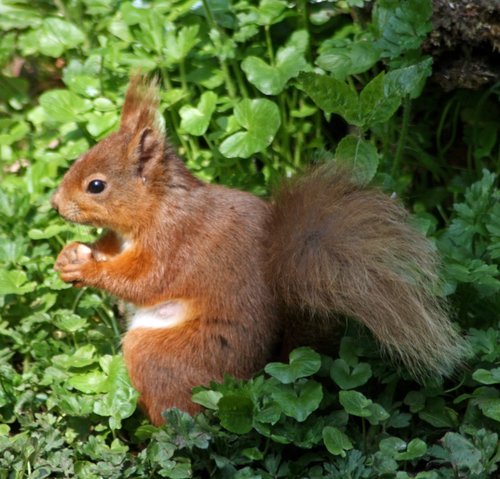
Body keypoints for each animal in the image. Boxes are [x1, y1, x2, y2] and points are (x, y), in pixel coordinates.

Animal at [52, 76, 466, 428]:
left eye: (96, 185)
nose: (55, 204)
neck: (155, 208)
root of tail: (253, 377)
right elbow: (107, 250)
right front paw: (71, 254)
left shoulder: (173, 242)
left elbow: (143, 280)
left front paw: (87, 270)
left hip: (160, 355)